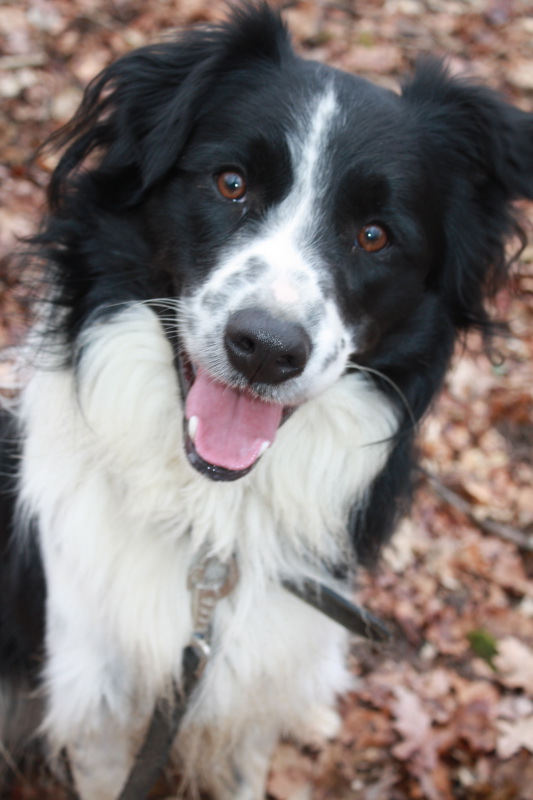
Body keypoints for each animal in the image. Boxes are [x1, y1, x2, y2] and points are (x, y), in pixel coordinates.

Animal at [1, 3, 532, 796]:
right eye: (229, 182)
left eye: (374, 235)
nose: (268, 349)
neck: (215, 523)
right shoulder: (99, 703)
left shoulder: (250, 691)